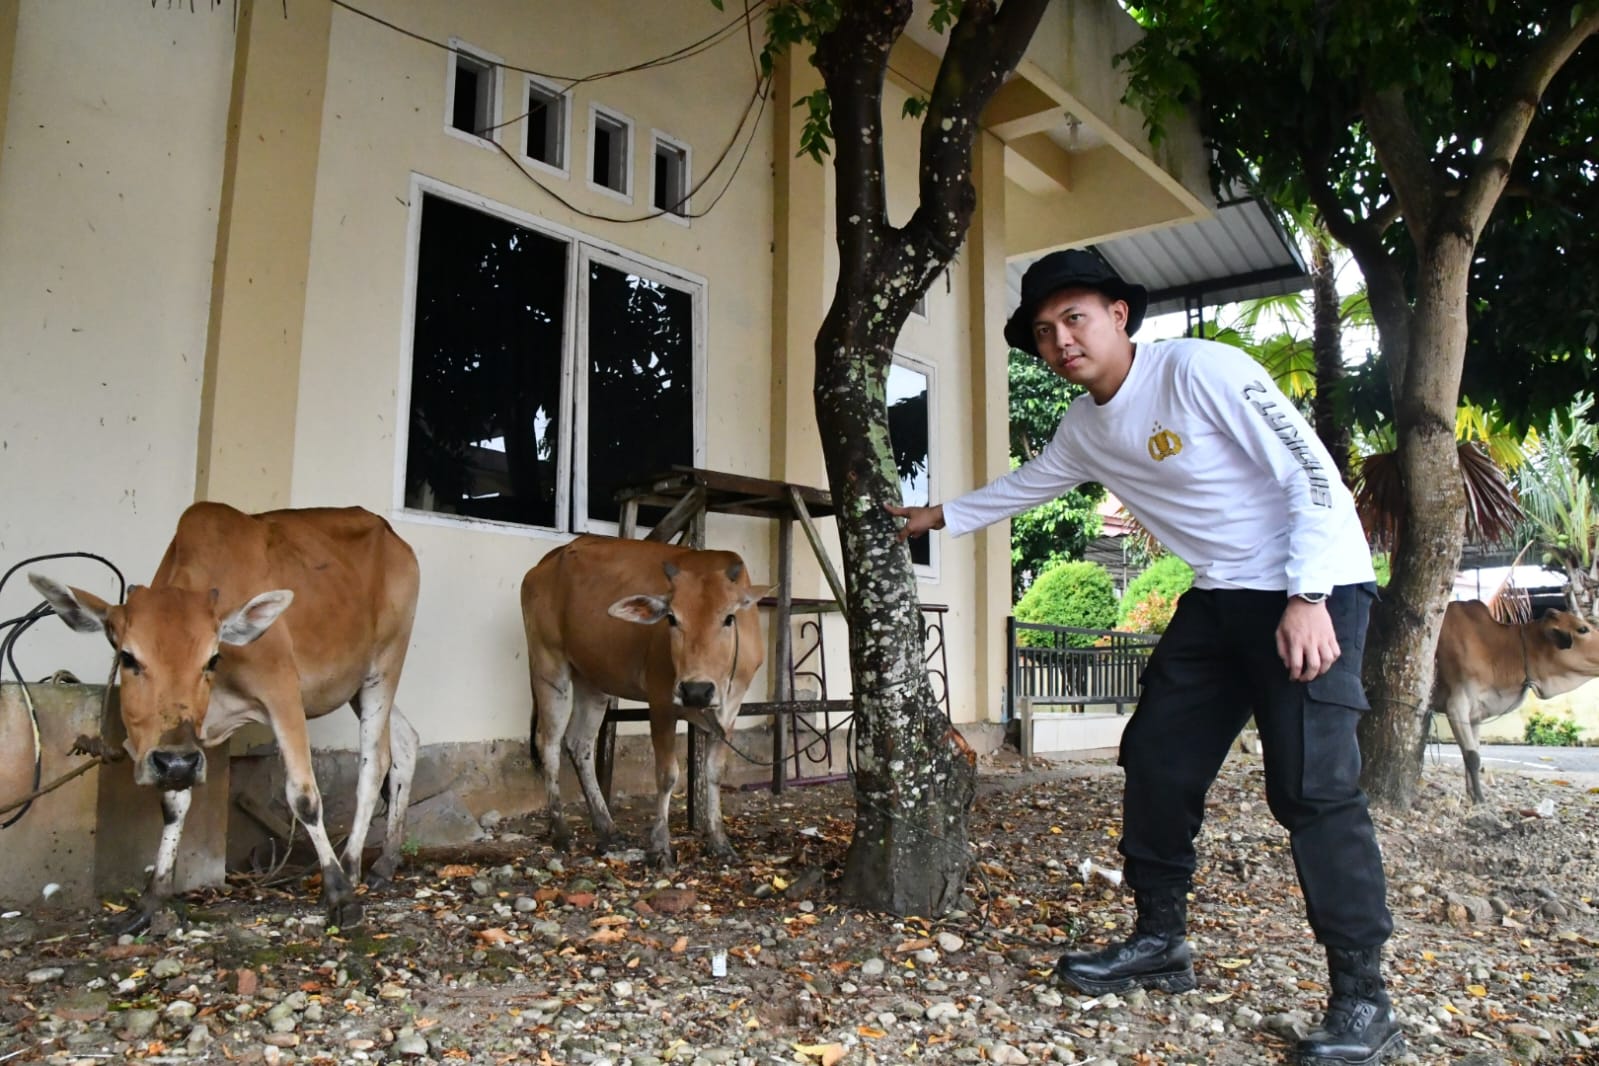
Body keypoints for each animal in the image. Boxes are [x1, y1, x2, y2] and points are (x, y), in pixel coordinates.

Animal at [30, 502, 420, 933]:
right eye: (127, 656)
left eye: (212, 658)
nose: (174, 762)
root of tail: (391, 534)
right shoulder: (180, 740)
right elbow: (174, 803)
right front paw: (151, 900)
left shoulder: (283, 692)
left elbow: (303, 796)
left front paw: (339, 896)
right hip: (356, 686)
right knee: (406, 740)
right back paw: (385, 862)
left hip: (384, 666)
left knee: (375, 761)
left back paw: (350, 866)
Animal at [521, 535, 768, 868]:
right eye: (672, 618)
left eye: (729, 618)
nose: (696, 690)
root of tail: (551, 557)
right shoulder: (661, 702)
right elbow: (667, 775)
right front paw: (660, 846)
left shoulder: (730, 710)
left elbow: (714, 773)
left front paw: (719, 842)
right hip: (549, 664)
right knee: (548, 743)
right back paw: (560, 831)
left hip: (592, 678)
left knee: (579, 742)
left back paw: (607, 828)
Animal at [1432, 599, 1599, 803]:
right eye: (1583, 629)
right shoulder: (1457, 706)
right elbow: (1472, 756)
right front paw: (1479, 798)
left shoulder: (1475, 715)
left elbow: (1472, 754)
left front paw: (1472, 794)